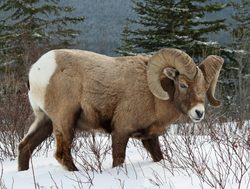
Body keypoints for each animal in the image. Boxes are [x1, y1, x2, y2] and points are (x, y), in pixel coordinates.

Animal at [18, 48, 225, 171]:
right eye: (182, 84)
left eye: (205, 87)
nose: (199, 112)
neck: (153, 97)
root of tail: (36, 71)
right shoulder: (121, 132)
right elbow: (118, 159)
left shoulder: (150, 138)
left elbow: (159, 157)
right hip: (65, 121)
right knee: (62, 154)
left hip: (44, 121)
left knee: (25, 147)